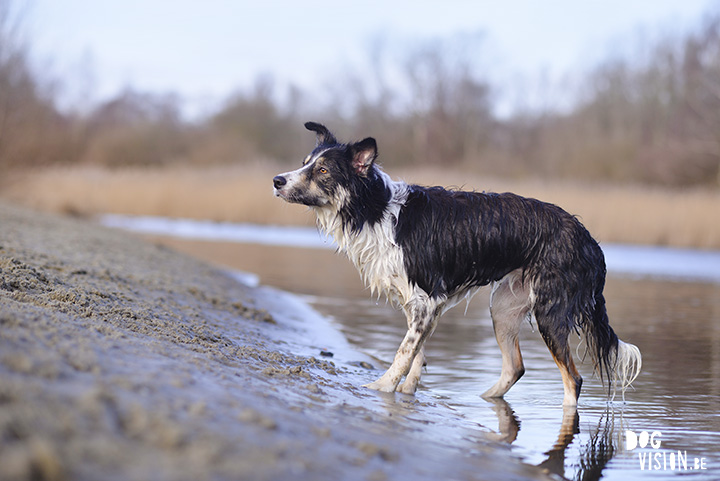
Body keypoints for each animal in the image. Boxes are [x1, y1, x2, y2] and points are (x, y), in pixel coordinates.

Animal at [272, 121, 640, 404]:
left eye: (322, 170)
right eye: (304, 163)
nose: (277, 180)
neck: (376, 209)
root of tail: (588, 239)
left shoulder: (426, 298)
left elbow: (404, 352)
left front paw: (382, 387)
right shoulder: (421, 304)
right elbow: (416, 353)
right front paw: (406, 392)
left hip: (550, 312)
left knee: (573, 380)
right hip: (503, 307)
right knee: (515, 367)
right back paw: (483, 400)